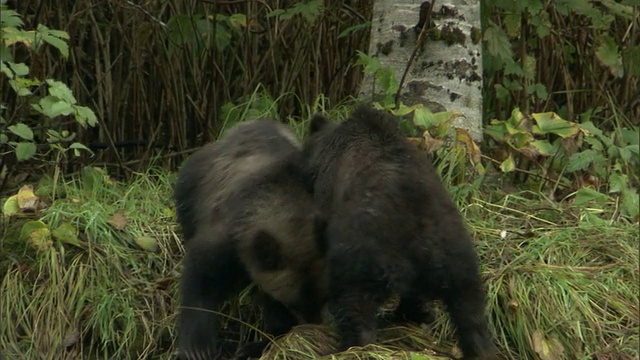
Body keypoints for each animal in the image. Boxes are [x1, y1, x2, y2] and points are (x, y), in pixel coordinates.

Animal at [174, 121, 328, 360]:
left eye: (324, 297)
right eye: (294, 304)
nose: (313, 324)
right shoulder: (227, 241)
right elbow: (202, 281)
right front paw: (197, 347)